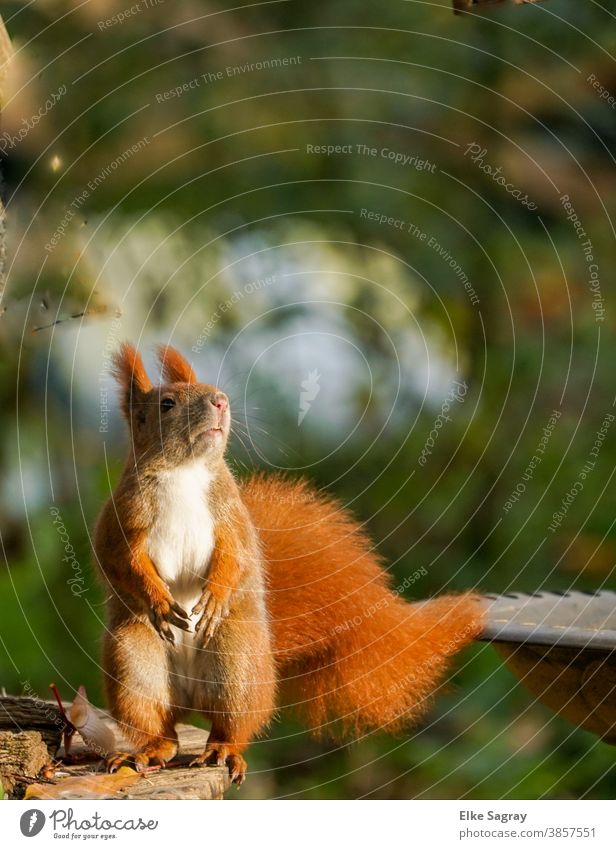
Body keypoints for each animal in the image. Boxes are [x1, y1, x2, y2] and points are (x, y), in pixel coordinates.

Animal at [94, 342, 484, 784]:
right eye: (167, 404)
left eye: (210, 387)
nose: (221, 401)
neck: (185, 471)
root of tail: (192, 697)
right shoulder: (121, 522)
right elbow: (123, 561)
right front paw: (157, 599)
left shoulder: (231, 517)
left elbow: (237, 554)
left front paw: (215, 594)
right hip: (135, 662)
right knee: (160, 724)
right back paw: (147, 752)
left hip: (237, 659)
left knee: (232, 723)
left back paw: (222, 750)